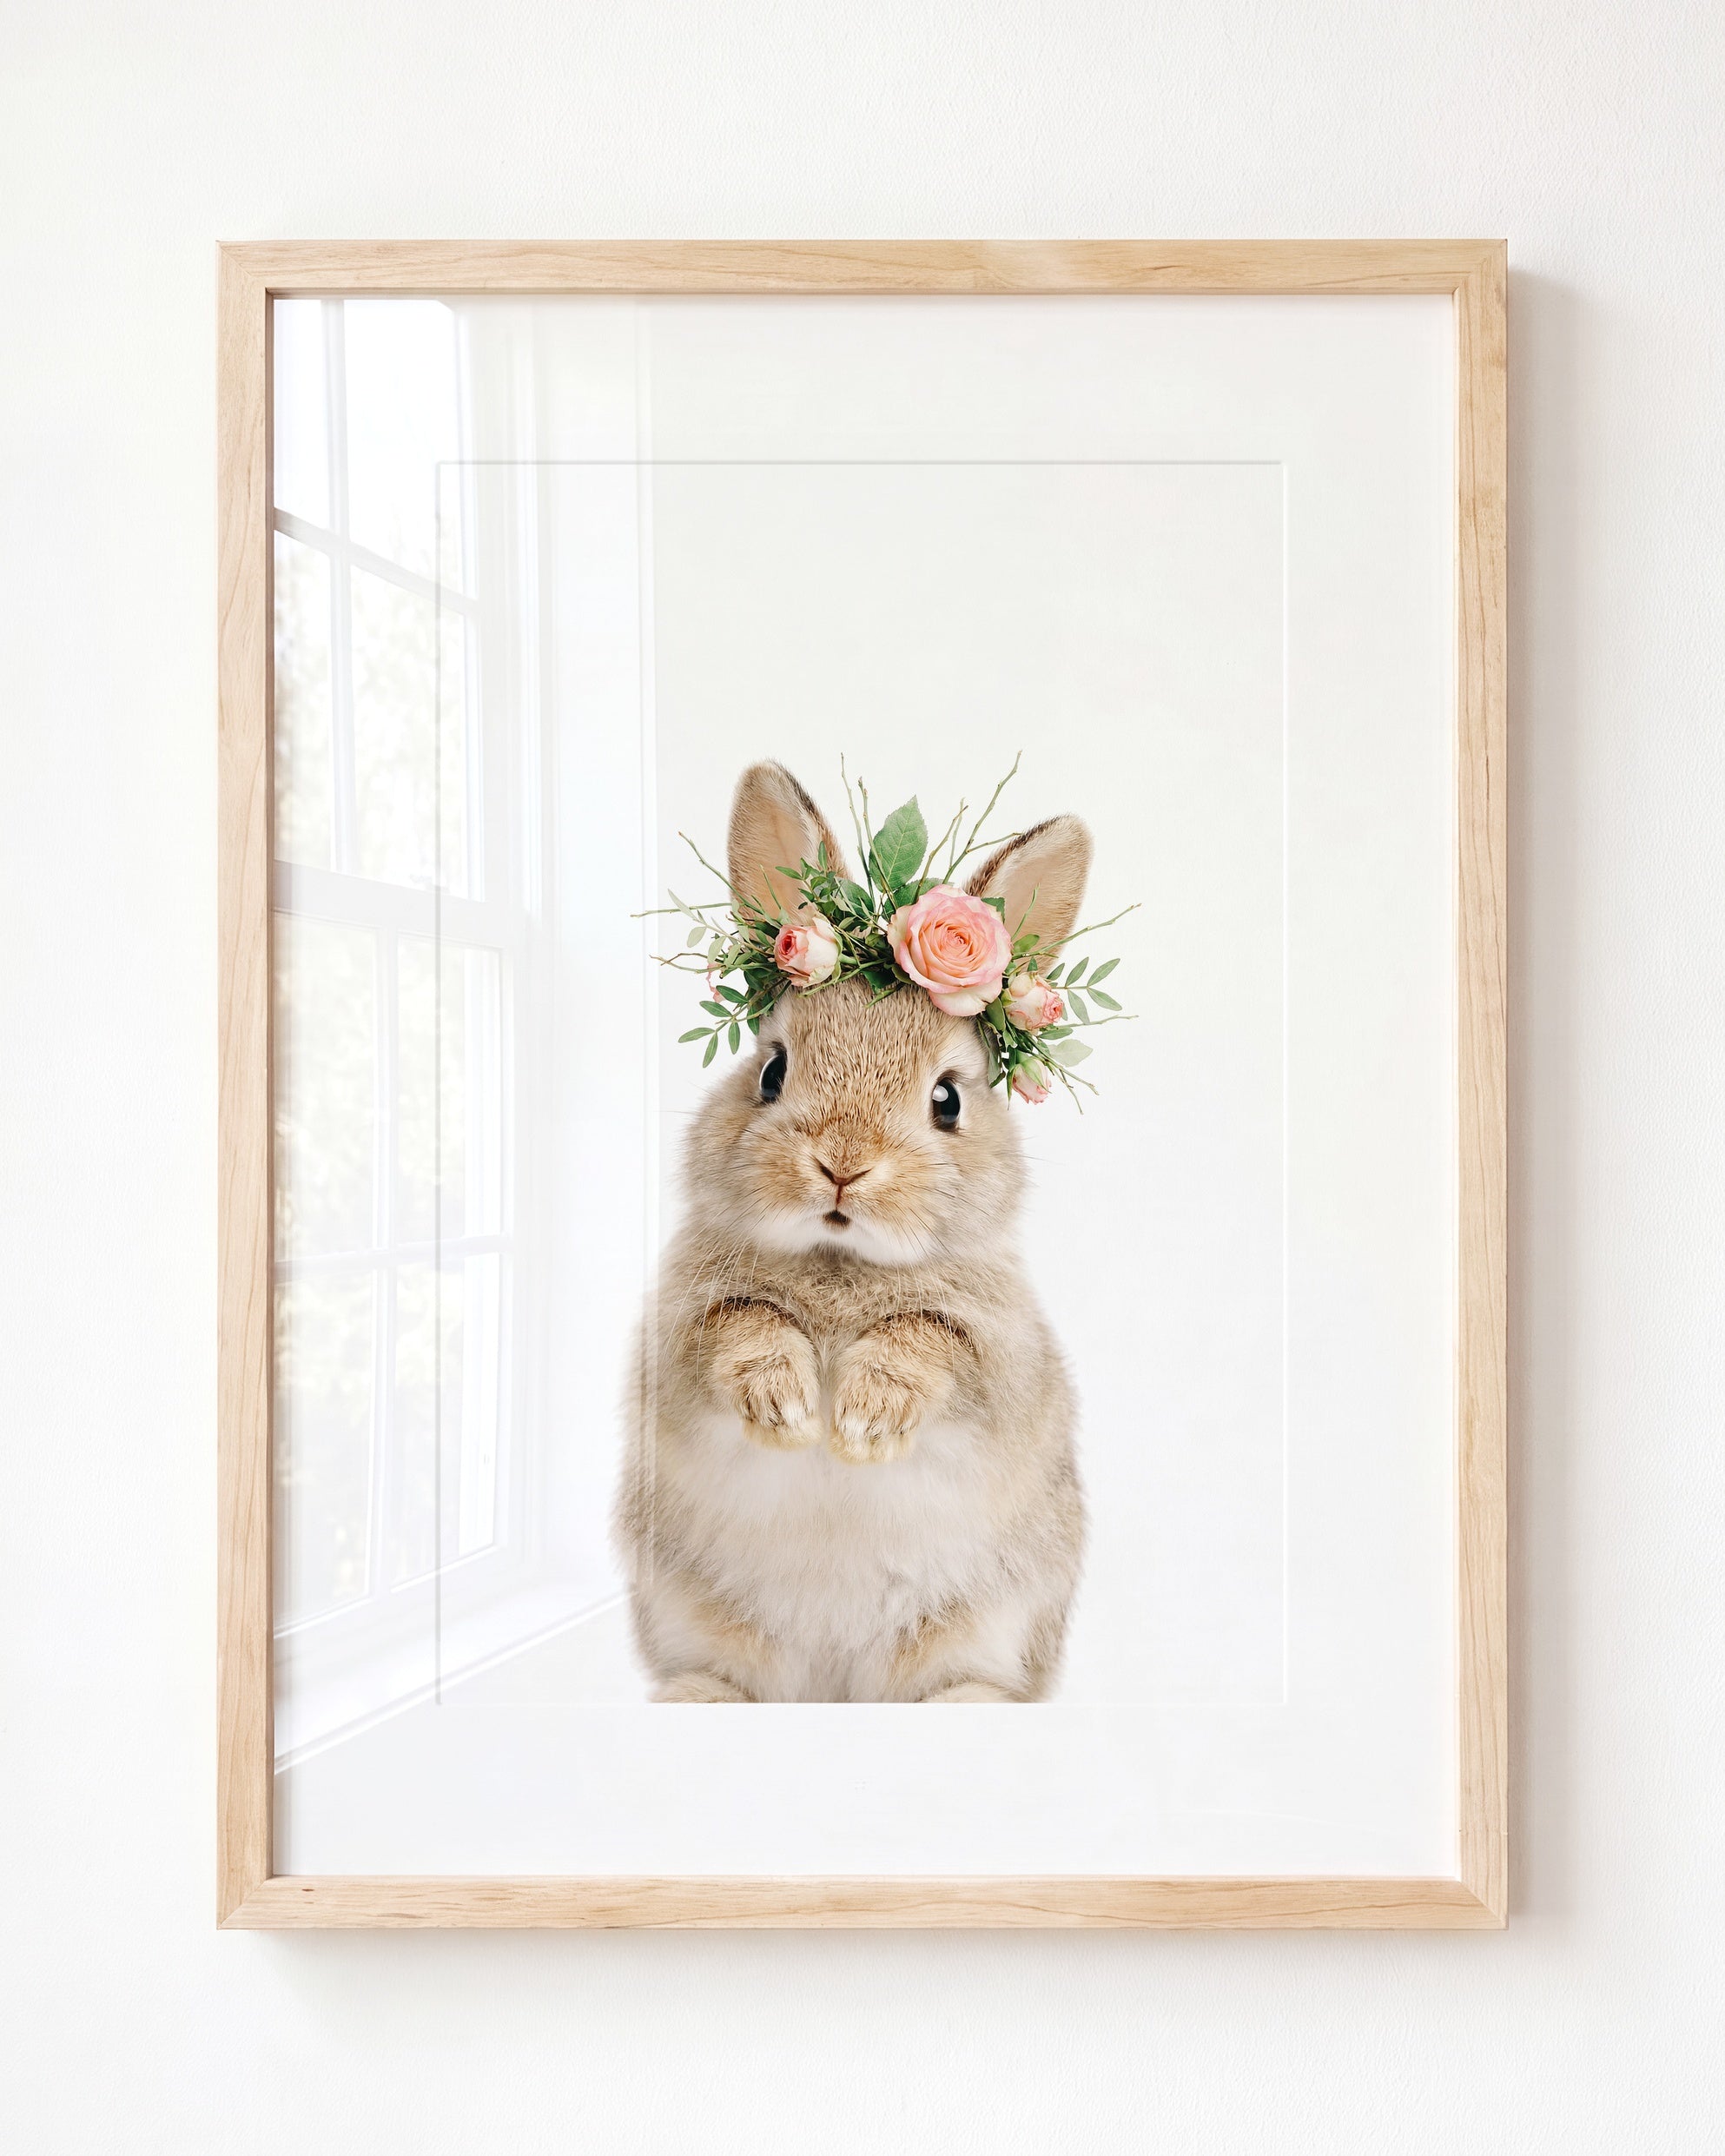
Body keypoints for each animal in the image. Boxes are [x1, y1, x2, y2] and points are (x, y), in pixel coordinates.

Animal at [615, 761, 1089, 1702]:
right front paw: (789, 1407)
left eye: (947, 1099)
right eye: (770, 1070)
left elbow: (930, 1339)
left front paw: (864, 1422)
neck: (839, 1260)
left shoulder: (1001, 1359)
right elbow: (741, 1325)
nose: (842, 1164)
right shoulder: (679, 1339)